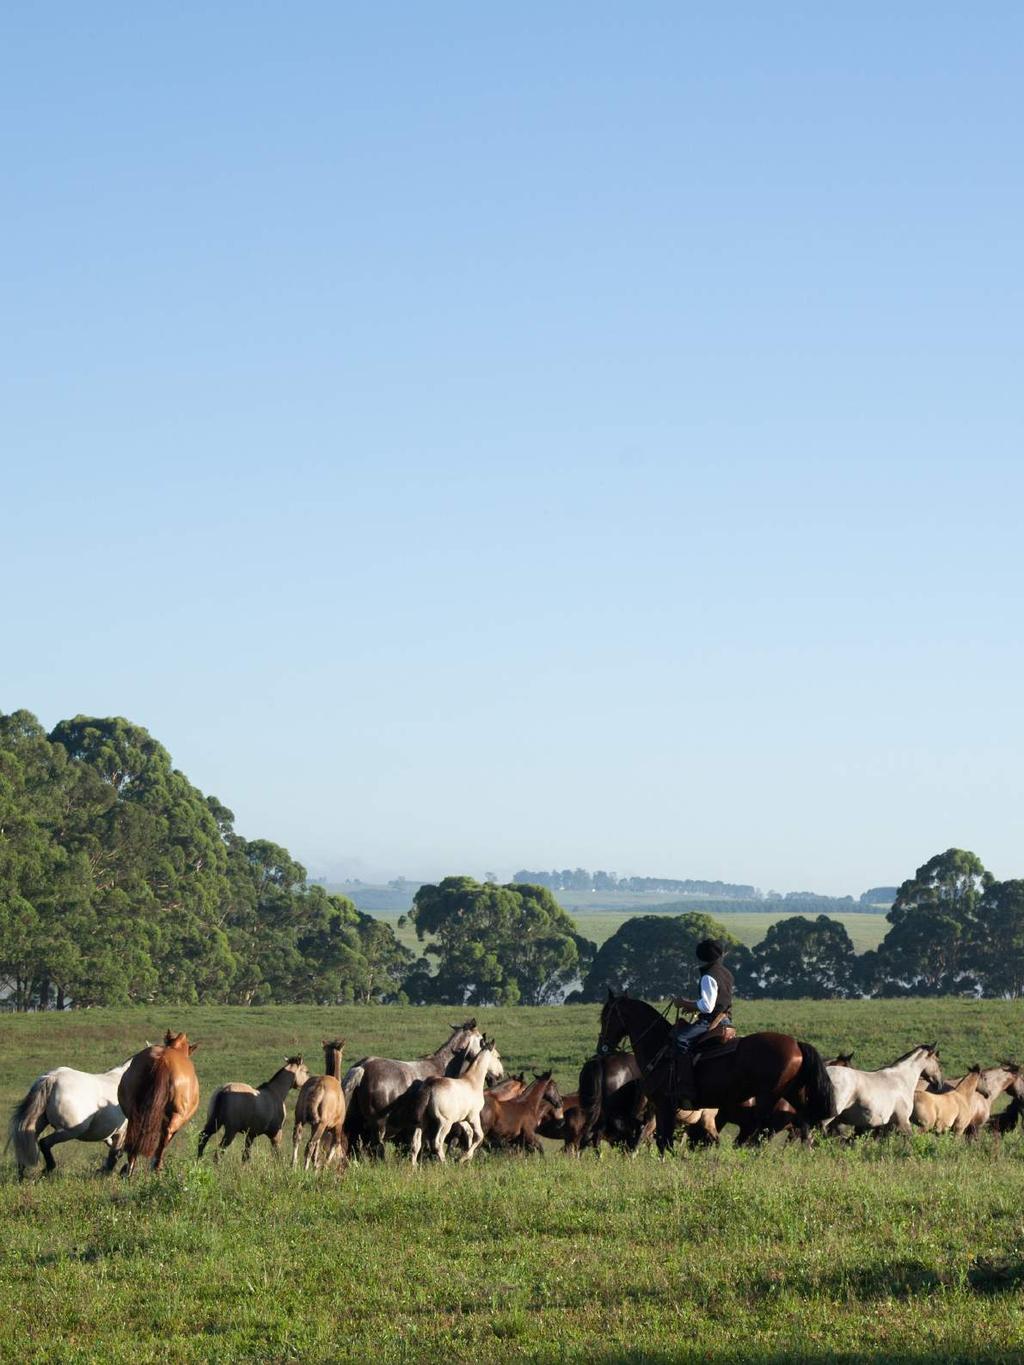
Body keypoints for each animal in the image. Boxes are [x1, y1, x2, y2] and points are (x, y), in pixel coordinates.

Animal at [117, 1031, 202, 1173]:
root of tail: (163, 1060)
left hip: (135, 1112)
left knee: (135, 1134)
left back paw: (129, 1169)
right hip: (176, 1116)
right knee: (165, 1136)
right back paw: (156, 1167)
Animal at [292, 1031, 349, 1173]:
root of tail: (316, 1087)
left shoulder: (313, 1125)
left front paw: (316, 1166)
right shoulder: (338, 1125)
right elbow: (335, 1144)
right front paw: (323, 1167)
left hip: (300, 1119)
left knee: (297, 1139)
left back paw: (293, 1165)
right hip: (322, 1123)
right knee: (310, 1144)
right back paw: (305, 1169)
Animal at [345, 1021, 486, 1157]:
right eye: (481, 1039)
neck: (442, 1068)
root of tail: (363, 1067)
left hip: (357, 1124)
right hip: (378, 1125)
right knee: (377, 1149)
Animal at [409, 1037, 505, 1168]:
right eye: (498, 1057)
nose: (501, 1074)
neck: (472, 1081)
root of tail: (430, 1087)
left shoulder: (462, 1119)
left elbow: (469, 1133)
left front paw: (468, 1158)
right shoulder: (473, 1117)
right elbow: (479, 1135)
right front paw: (463, 1158)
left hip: (422, 1122)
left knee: (416, 1143)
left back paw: (414, 1167)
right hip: (445, 1123)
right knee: (437, 1142)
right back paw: (445, 1164)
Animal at [592, 993, 835, 1152]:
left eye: (606, 1017)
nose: (602, 1048)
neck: (659, 1046)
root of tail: (796, 1044)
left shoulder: (664, 1105)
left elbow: (664, 1142)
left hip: (769, 1096)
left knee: (761, 1131)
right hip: (793, 1093)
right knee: (804, 1123)